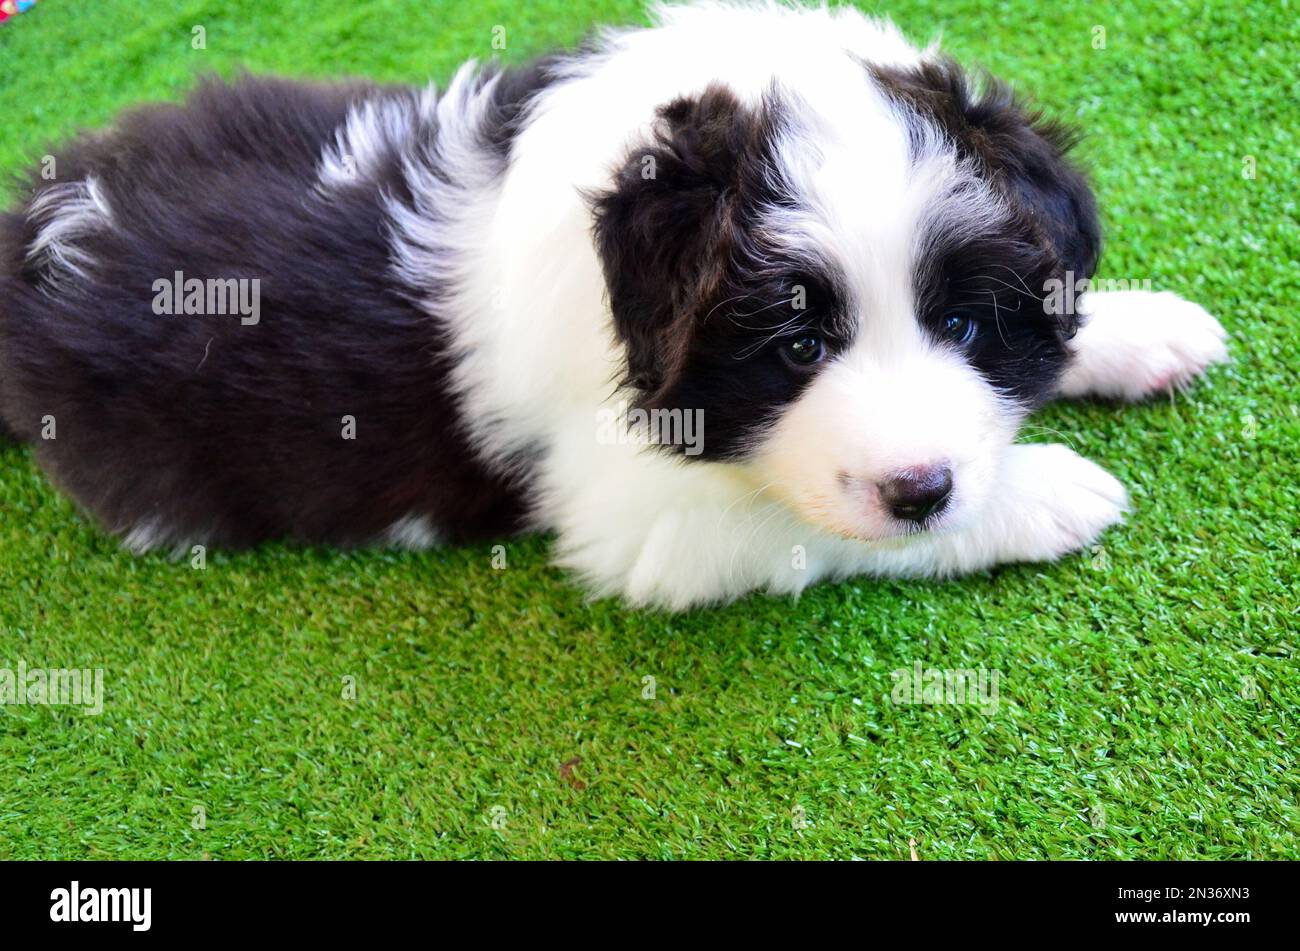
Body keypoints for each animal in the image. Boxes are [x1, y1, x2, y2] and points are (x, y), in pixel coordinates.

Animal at [0, 1, 1227, 608]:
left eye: (963, 323)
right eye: (795, 346)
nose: (921, 487)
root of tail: (43, 222)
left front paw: (1142, 326)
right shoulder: (645, 524)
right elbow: (813, 527)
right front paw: (1048, 492)